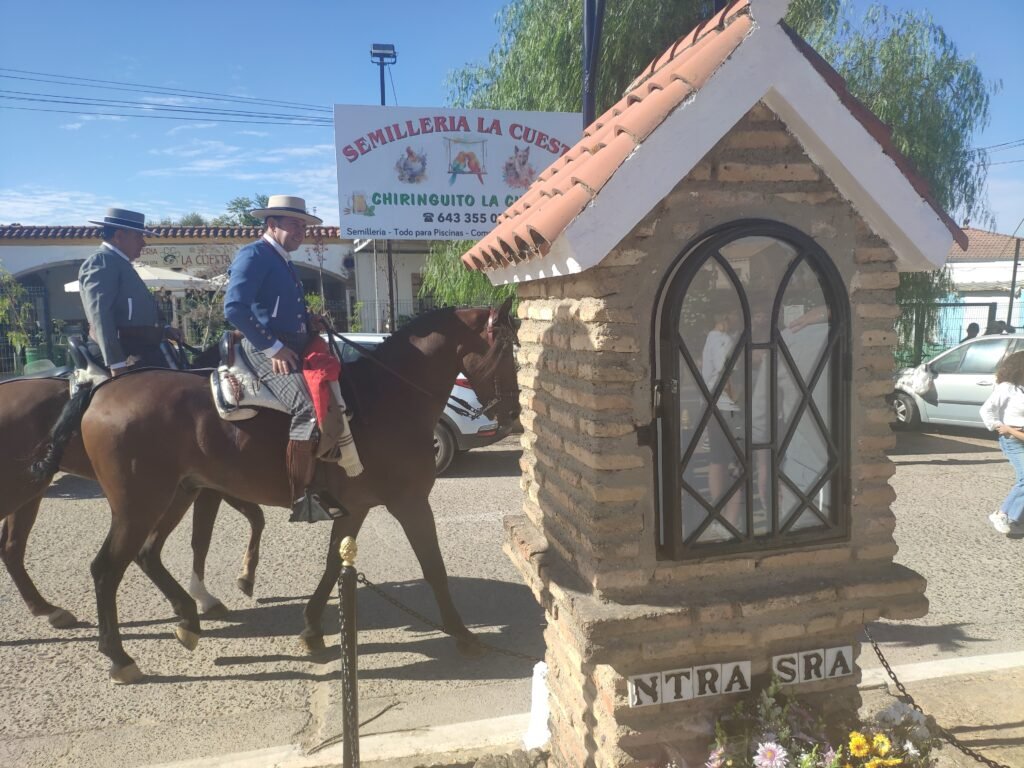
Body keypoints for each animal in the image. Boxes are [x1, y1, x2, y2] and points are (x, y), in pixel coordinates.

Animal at [0, 359, 267, 628]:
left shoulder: (210, 486)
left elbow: (249, 520)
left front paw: (231, 584)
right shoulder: (212, 488)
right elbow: (213, 535)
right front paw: (219, 590)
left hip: (29, 491)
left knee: (11, 547)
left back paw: (48, 610)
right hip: (19, 490)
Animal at [30, 302, 520, 683]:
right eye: (507, 352)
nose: (513, 414)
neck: (387, 397)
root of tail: (103, 389)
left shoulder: (355, 508)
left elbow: (332, 567)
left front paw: (311, 629)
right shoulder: (410, 503)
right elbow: (434, 567)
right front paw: (463, 635)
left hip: (177, 495)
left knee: (147, 554)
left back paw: (188, 619)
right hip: (140, 504)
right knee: (106, 569)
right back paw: (120, 656)